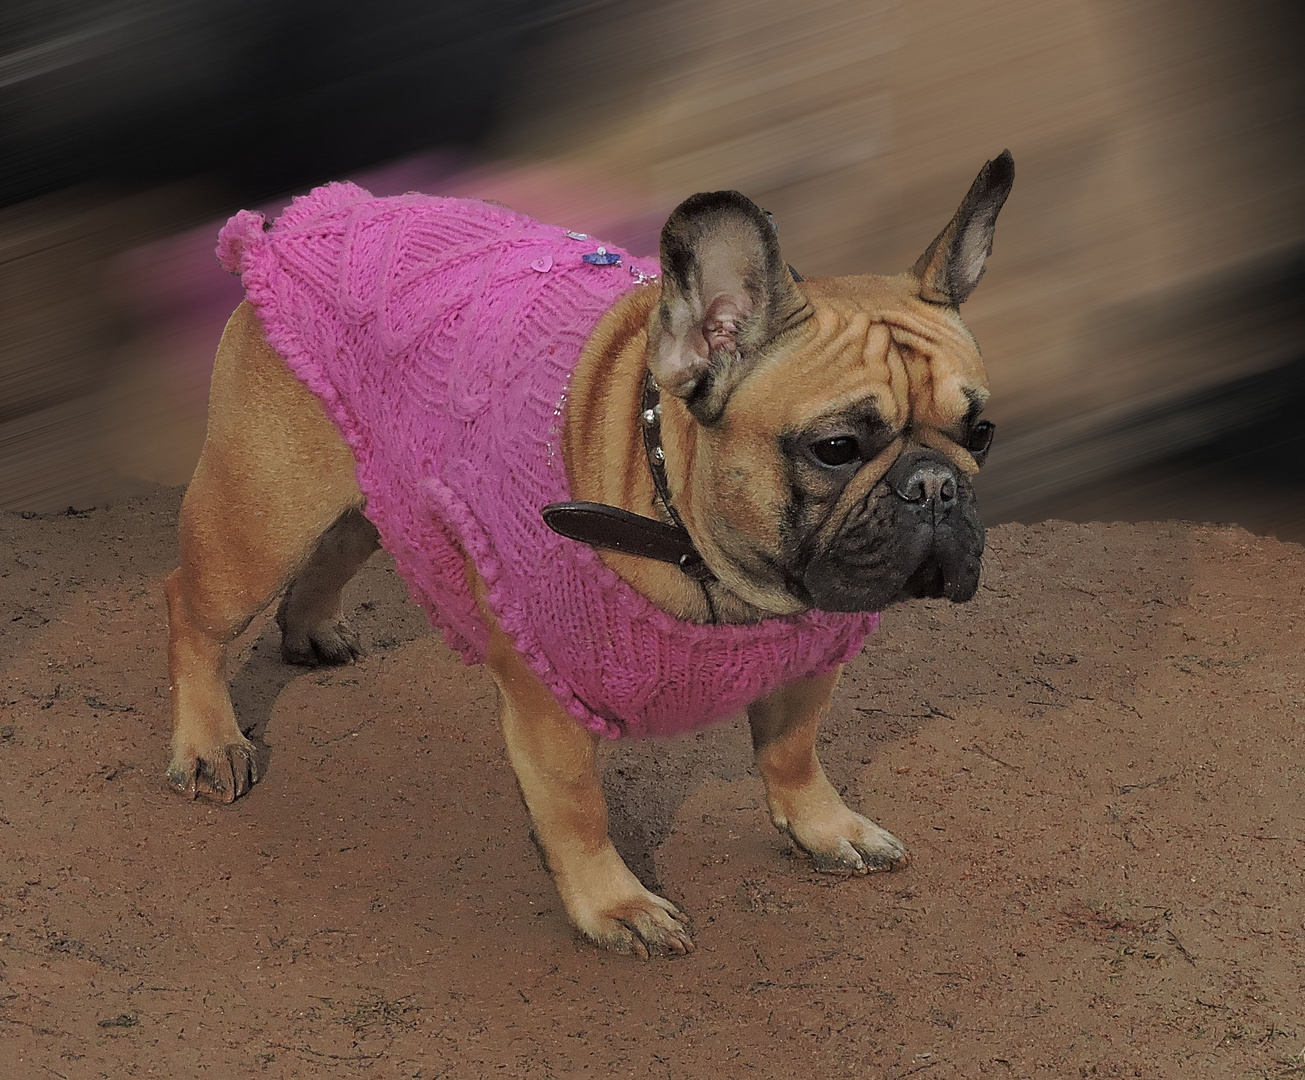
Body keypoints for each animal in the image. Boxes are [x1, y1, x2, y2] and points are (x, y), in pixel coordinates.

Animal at [163, 150, 1012, 954]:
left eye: (980, 434)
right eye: (834, 448)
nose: (935, 486)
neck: (699, 551)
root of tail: (311, 218)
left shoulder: (810, 659)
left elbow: (793, 752)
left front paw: (824, 827)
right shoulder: (548, 695)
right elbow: (576, 805)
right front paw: (614, 905)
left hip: (375, 481)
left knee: (337, 546)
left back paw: (310, 630)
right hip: (261, 516)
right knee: (192, 610)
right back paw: (208, 744)